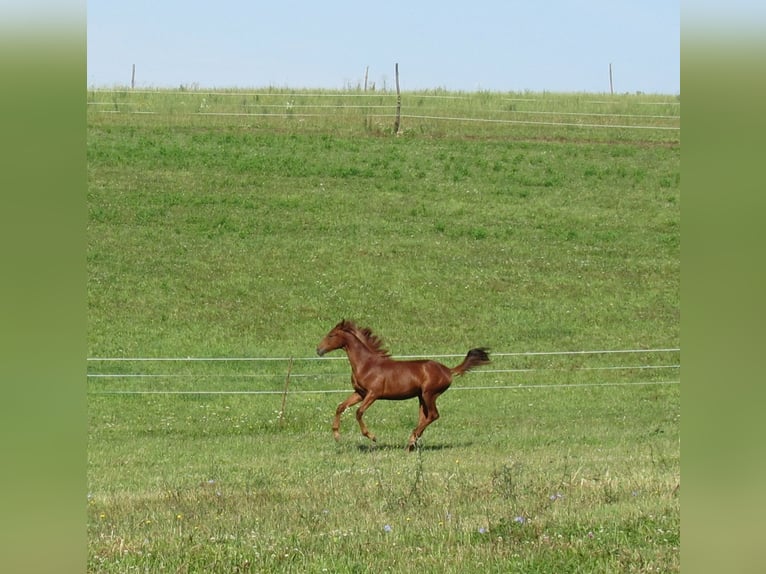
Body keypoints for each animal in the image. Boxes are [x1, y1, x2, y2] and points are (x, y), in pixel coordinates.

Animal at [316, 319, 490, 451]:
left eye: (331, 335)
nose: (318, 350)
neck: (366, 364)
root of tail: (448, 370)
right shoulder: (360, 393)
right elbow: (340, 407)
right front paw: (337, 436)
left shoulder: (373, 394)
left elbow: (358, 412)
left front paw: (372, 437)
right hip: (421, 397)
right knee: (424, 417)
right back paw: (411, 443)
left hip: (429, 394)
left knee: (433, 415)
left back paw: (411, 440)